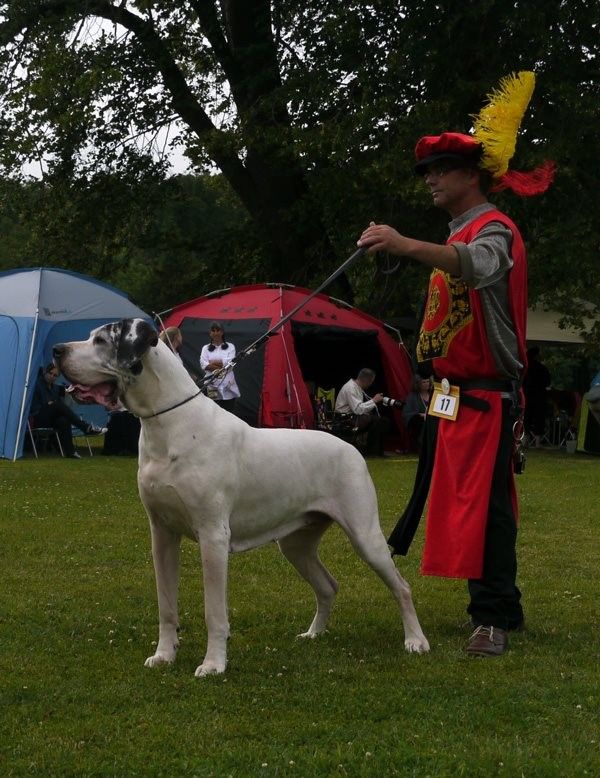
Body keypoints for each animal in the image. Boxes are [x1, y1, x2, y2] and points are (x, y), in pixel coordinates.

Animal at [54, 318, 429, 676]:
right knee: (328, 586)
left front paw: (213, 664)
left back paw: (415, 641)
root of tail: (351, 447)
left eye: (101, 340)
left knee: (402, 587)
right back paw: (314, 634)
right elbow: (166, 606)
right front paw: (163, 655)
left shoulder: (213, 537)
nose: (57, 350)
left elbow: (214, 612)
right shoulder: (162, 534)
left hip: (366, 536)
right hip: (295, 545)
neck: (169, 424)